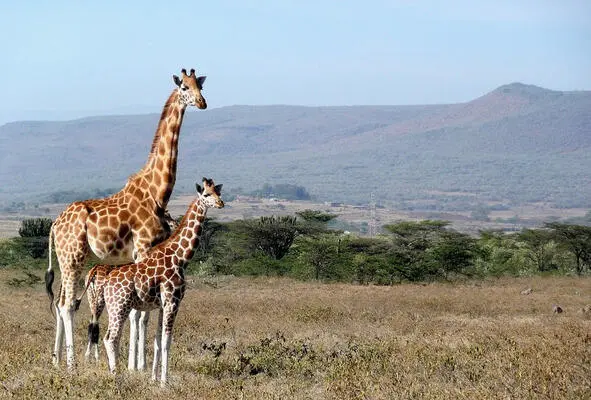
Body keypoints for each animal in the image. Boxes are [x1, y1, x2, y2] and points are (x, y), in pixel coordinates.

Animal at [44, 67, 206, 370]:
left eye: (200, 86)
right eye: (184, 88)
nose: (202, 103)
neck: (158, 192)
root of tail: (54, 225)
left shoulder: (145, 255)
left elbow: (140, 312)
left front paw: (137, 364)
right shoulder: (143, 248)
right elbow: (138, 313)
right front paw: (137, 366)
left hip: (65, 258)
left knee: (60, 302)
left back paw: (56, 360)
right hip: (74, 256)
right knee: (68, 305)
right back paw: (72, 364)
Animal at [98, 178, 223, 384]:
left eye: (218, 192)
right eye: (206, 194)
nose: (221, 203)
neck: (180, 257)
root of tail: (107, 283)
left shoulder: (163, 304)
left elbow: (157, 340)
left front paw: (154, 379)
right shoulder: (173, 301)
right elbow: (166, 341)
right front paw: (165, 381)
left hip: (114, 307)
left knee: (110, 336)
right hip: (120, 306)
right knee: (111, 338)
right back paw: (116, 376)